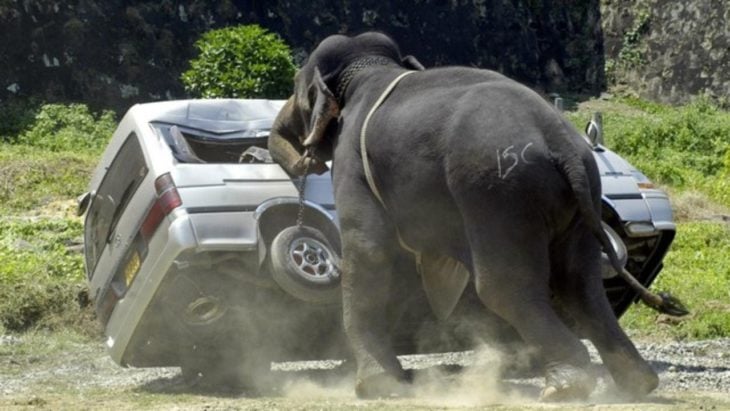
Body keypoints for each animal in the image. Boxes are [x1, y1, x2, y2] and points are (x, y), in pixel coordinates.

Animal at [268, 32, 684, 402]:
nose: (300, 157)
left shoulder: (352, 159)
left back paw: (566, 387)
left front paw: (376, 388)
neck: (372, 69)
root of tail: (563, 146)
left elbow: (369, 250)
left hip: (498, 194)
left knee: (504, 285)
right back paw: (637, 384)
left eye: (298, 87)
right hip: (580, 201)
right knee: (580, 281)